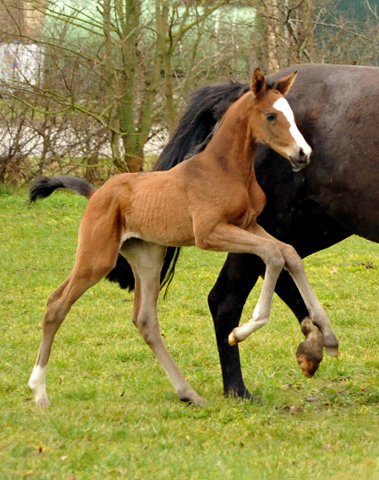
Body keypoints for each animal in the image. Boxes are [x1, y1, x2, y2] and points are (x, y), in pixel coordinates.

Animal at [28, 69, 340, 406]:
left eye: (292, 114)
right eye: (271, 115)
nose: (303, 154)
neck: (226, 169)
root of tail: (96, 193)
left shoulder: (248, 225)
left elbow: (289, 254)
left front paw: (329, 337)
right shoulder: (210, 233)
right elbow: (272, 254)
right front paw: (241, 331)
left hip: (148, 257)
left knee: (145, 320)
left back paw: (188, 392)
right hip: (96, 258)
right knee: (56, 304)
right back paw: (39, 392)